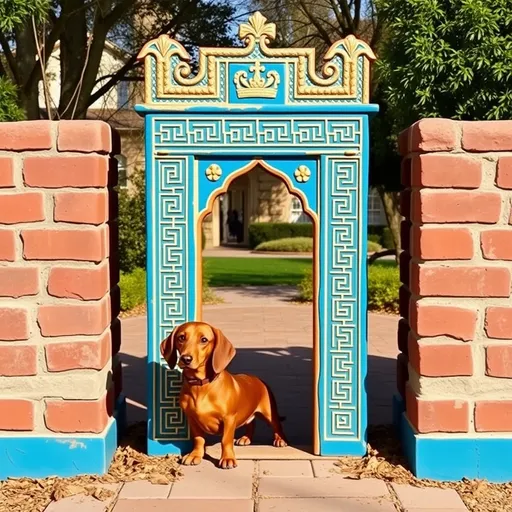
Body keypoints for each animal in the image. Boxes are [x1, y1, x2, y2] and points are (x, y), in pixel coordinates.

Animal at [160, 322, 288, 470]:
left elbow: (225, 440)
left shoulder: (229, 419)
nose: (186, 359)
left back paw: (280, 439)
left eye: (204, 340)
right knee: (251, 423)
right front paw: (195, 455)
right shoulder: (192, 419)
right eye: (181, 337)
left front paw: (227, 459)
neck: (201, 386)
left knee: (277, 425)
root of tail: (258, 379)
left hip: (268, 412)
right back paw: (246, 438)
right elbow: (198, 439)